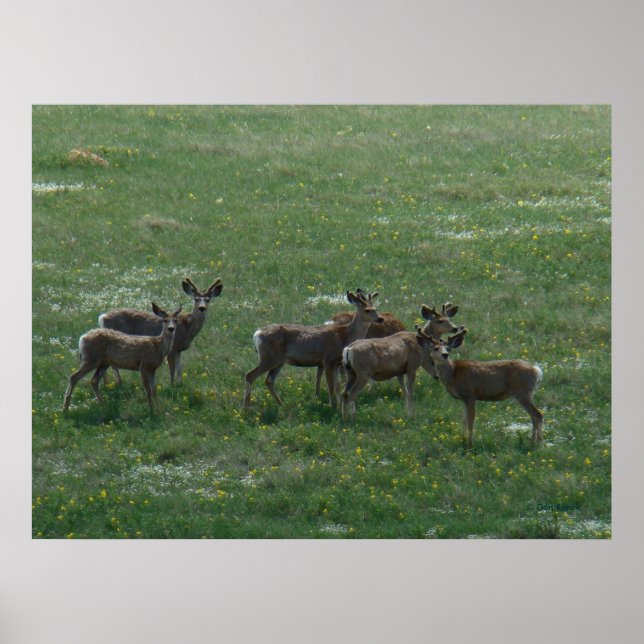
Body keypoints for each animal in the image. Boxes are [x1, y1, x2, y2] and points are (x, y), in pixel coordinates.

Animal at [244, 290, 384, 410]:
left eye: (376, 308)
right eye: (367, 310)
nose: (380, 319)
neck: (345, 336)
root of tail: (257, 334)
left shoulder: (337, 363)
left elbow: (337, 386)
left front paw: (338, 406)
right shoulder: (328, 359)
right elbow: (331, 386)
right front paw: (332, 406)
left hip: (279, 361)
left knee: (269, 380)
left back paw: (281, 405)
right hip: (269, 358)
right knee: (250, 375)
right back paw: (246, 408)